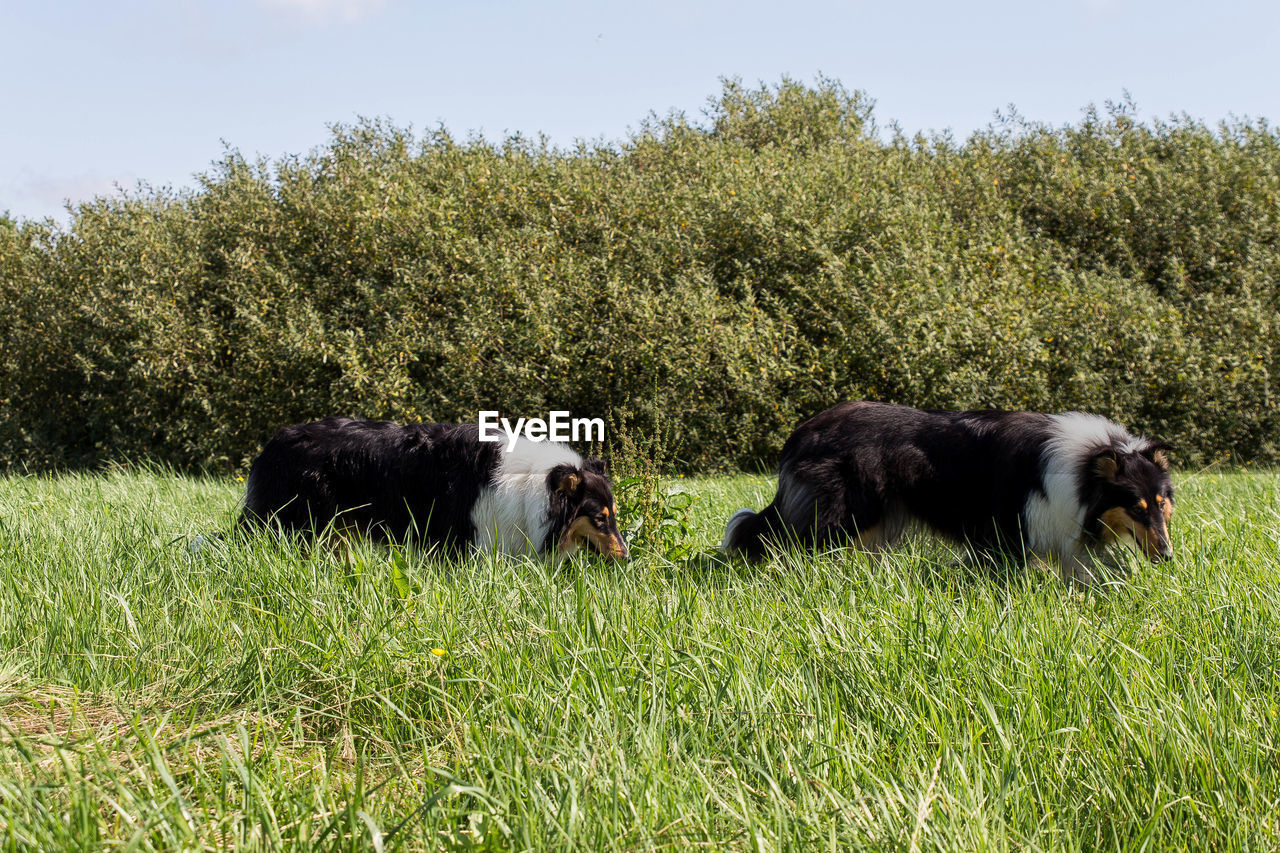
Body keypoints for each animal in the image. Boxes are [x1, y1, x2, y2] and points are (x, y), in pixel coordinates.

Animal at [240, 417, 629, 558]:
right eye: (599, 519)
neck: (531, 484)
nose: (626, 556)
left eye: (612, 516)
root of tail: (276, 440)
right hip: (293, 523)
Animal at [721, 402, 1172, 581]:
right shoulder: (1008, 531)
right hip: (840, 514)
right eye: (1136, 507)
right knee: (784, 542)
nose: (1168, 557)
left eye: (1162, 505)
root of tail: (802, 432)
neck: (1084, 467)